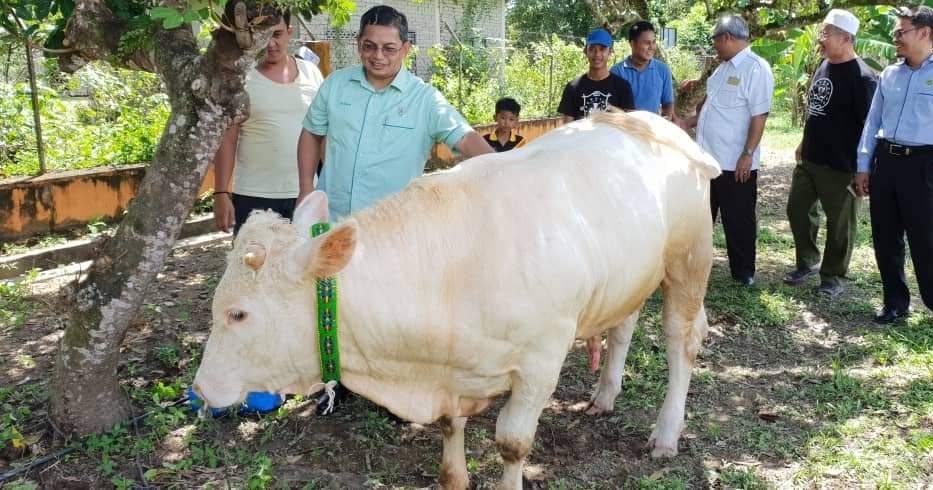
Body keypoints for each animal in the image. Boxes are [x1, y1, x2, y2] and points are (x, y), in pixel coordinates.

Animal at [193, 112, 720, 490]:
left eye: (238, 313)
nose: (200, 388)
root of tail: (655, 122)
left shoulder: (541, 360)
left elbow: (512, 443)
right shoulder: (449, 374)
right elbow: (450, 432)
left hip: (688, 260)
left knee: (683, 341)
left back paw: (666, 433)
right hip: (632, 273)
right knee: (624, 324)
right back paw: (605, 395)